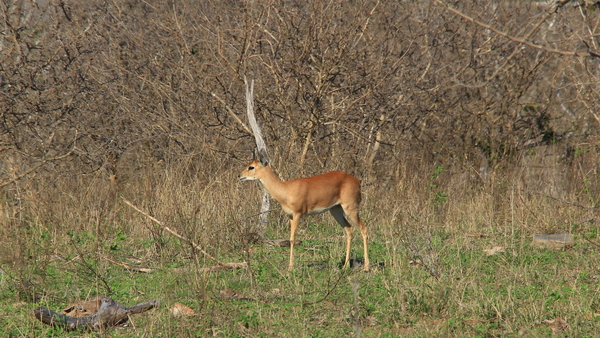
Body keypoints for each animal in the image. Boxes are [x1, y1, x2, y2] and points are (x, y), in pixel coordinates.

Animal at [239, 151, 370, 272]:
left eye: (251, 167)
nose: (240, 176)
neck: (286, 190)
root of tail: (357, 181)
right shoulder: (290, 216)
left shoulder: (298, 214)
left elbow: (292, 239)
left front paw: (290, 268)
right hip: (336, 210)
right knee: (349, 229)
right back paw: (345, 266)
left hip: (350, 208)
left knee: (363, 228)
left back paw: (366, 267)